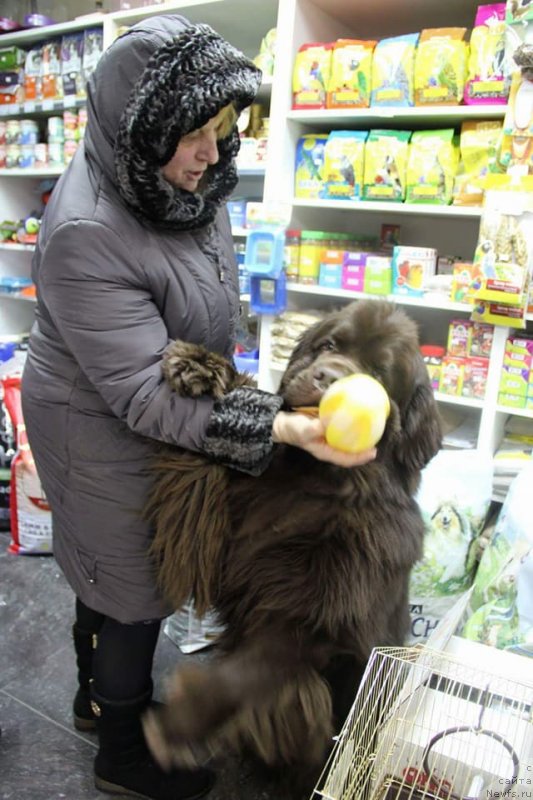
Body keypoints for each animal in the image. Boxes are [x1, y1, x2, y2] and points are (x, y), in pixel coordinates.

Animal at [141, 298, 440, 788]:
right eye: (330, 345)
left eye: (379, 373)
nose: (328, 377)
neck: (316, 483)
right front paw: (201, 366)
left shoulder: (312, 623)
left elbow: (245, 675)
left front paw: (179, 724)